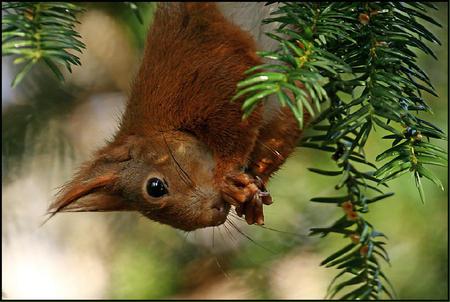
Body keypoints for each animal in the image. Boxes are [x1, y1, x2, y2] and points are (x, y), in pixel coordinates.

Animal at [49, 2, 304, 231]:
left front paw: (227, 177)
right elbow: (284, 129)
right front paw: (253, 188)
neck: (162, 126)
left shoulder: (205, 77)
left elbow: (233, 115)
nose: (212, 216)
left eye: (155, 187)